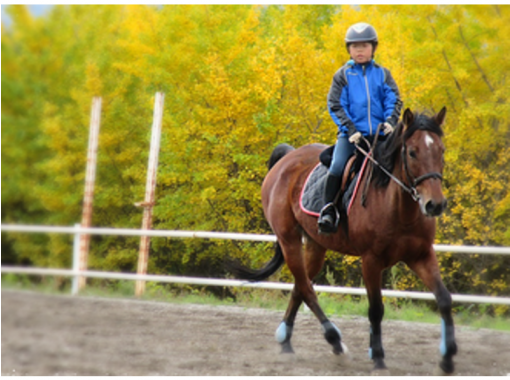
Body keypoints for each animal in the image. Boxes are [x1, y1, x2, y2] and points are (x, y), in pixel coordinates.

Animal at [229, 107, 456, 374]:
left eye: (441, 150)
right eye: (412, 152)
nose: (435, 204)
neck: (400, 209)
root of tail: (287, 158)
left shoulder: (421, 255)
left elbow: (444, 299)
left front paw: (448, 357)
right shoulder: (371, 261)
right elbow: (376, 309)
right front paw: (378, 356)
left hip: (315, 245)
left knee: (300, 286)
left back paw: (286, 340)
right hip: (289, 240)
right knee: (307, 289)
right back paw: (335, 341)